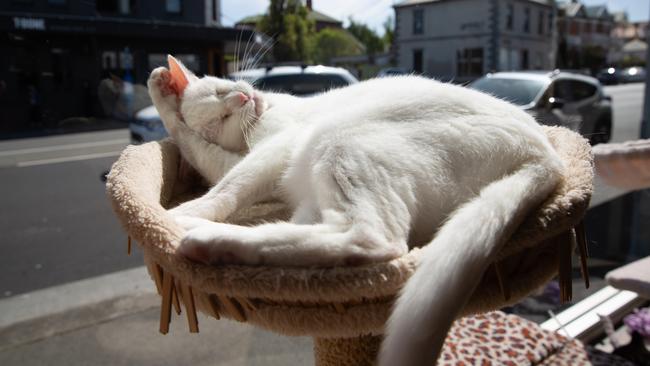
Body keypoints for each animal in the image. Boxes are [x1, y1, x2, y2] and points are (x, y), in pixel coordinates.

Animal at [147, 55, 560, 366]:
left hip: (339, 139)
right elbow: (203, 154)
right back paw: (222, 242)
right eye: (220, 118)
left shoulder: (276, 148)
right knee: (337, 234)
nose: (242, 99)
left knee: (374, 239)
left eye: (223, 91)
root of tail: (546, 156)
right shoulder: (246, 160)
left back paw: (208, 239)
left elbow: (226, 180)